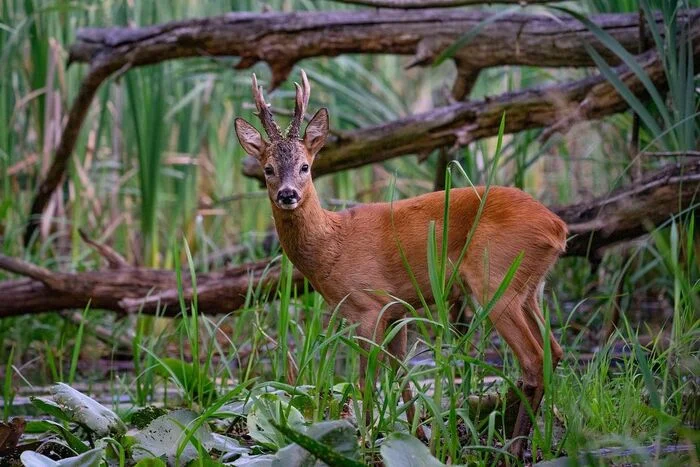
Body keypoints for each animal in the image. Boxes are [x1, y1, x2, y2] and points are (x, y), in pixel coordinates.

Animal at [237, 69, 568, 458]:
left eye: (305, 166)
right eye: (268, 169)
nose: (287, 194)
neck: (332, 246)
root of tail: (558, 227)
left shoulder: (368, 306)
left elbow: (365, 379)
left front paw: (365, 441)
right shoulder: (398, 308)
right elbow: (401, 375)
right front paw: (415, 437)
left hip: (495, 281)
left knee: (532, 359)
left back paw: (513, 451)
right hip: (530, 288)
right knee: (554, 351)